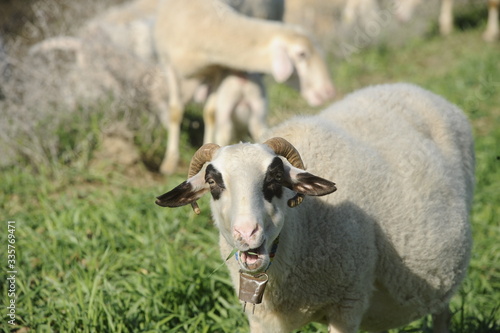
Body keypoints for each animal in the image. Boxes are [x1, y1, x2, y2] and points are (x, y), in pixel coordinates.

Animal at [154, 0, 334, 175]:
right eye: (302, 54)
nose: (328, 91)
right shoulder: (168, 64)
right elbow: (175, 113)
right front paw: (169, 162)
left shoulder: (218, 69)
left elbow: (211, 114)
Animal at [155, 83, 472, 332]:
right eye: (213, 183)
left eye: (275, 179)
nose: (247, 233)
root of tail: (411, 87)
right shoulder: (263, 319)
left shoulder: (348, 303)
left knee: (442, 314)